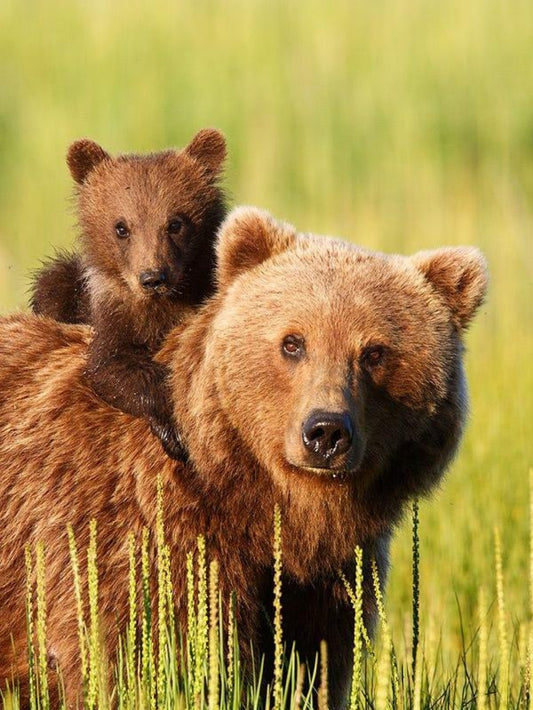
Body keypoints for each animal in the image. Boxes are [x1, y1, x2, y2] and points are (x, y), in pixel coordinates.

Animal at [0, 207, 487, 708]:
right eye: (293, 342)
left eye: (374, 352)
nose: (326, 432)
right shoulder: (136, 532)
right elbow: (141, 652)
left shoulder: (329, 581)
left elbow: (314, 664)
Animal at [30, 128, 227, 458]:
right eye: (121, 227)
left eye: (175, 223)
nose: (152, 277)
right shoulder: (112, 315)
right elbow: (113, 365)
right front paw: (173, 429)